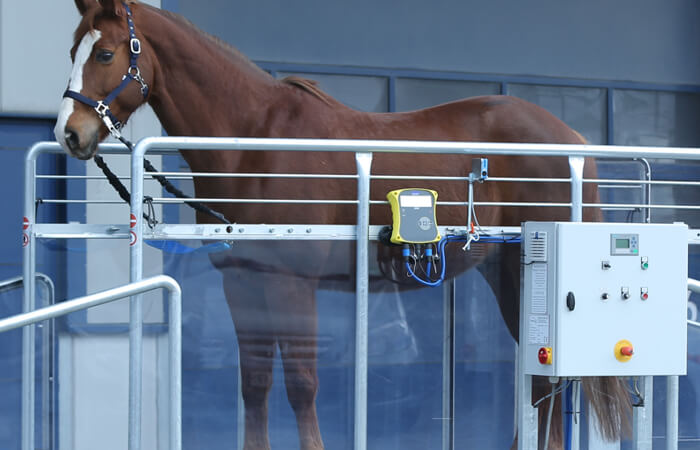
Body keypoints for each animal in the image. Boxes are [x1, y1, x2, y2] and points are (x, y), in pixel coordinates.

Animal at [57, 1, 632, 448]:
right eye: (72, 52)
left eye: (105, 54)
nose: (69, 133)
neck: (254, 142)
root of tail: (572, 139)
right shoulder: (243, 282)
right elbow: (255, 384)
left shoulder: (292, 284)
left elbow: (301, 384)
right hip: (508, 273)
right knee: (541, 380)